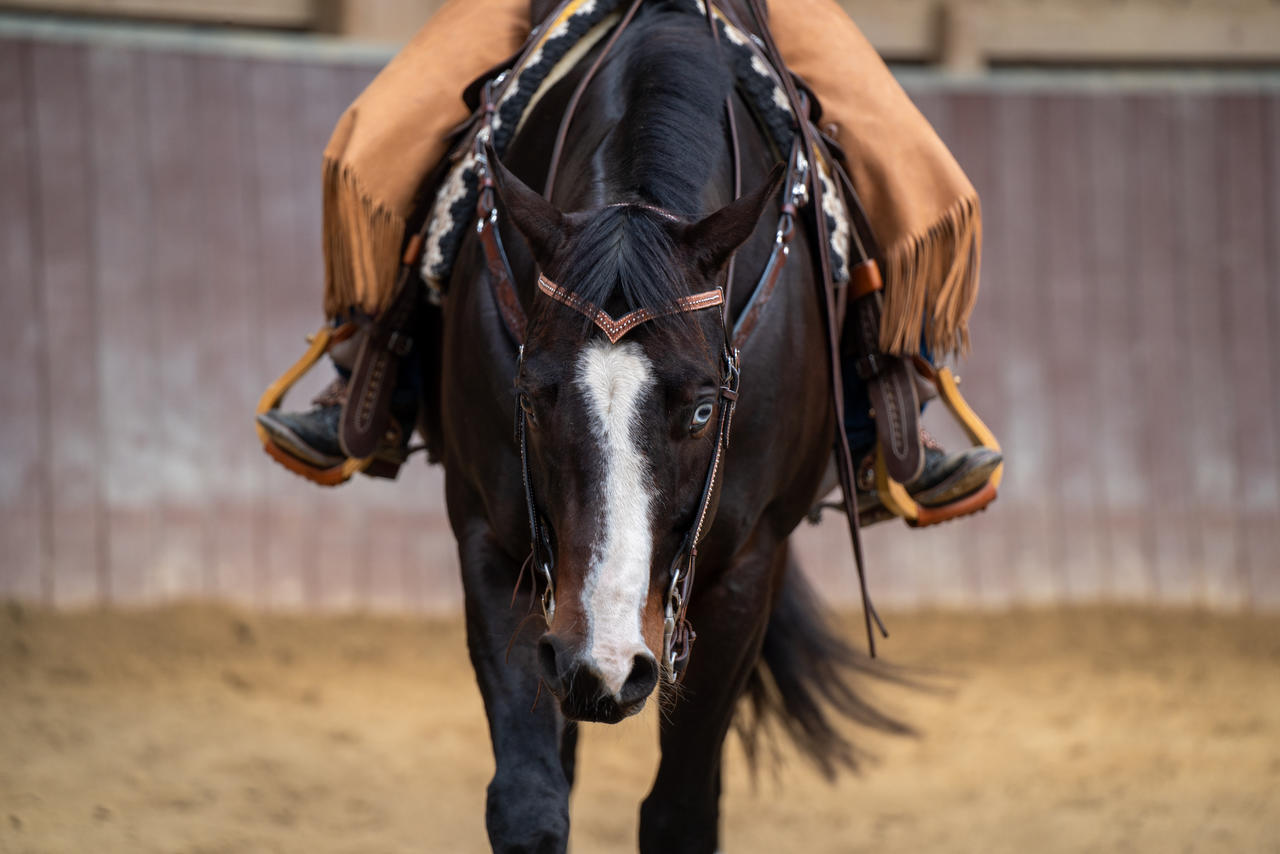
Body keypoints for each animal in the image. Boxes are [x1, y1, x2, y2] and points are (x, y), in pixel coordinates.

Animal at [435, 3, 896, 850]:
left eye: (705, 409)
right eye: (531, 398)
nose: (608, 666)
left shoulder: (745, 565)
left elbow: (680, 811)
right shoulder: (491, 534)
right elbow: (529, 802)